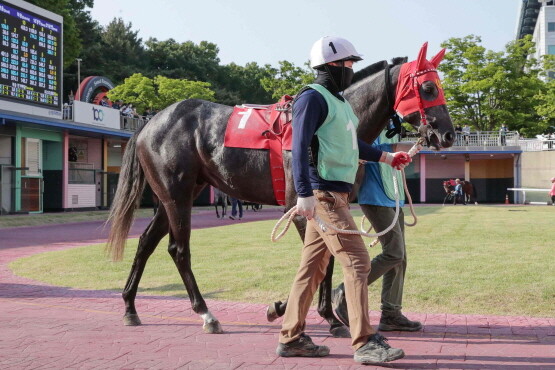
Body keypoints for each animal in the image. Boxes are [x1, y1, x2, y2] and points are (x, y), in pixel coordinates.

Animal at [107, 42, 456, 336]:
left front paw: (297, 309)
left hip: (176, 196)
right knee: (178, 250)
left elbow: (325, 261)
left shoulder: (333, 207)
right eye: (428, 88)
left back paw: (129, 307)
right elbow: (321, 263)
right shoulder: (304, 210)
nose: (449, 134)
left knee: (146, 243)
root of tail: (150, 123)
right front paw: (321, 316)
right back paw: (206, 314)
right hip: (177, 196)